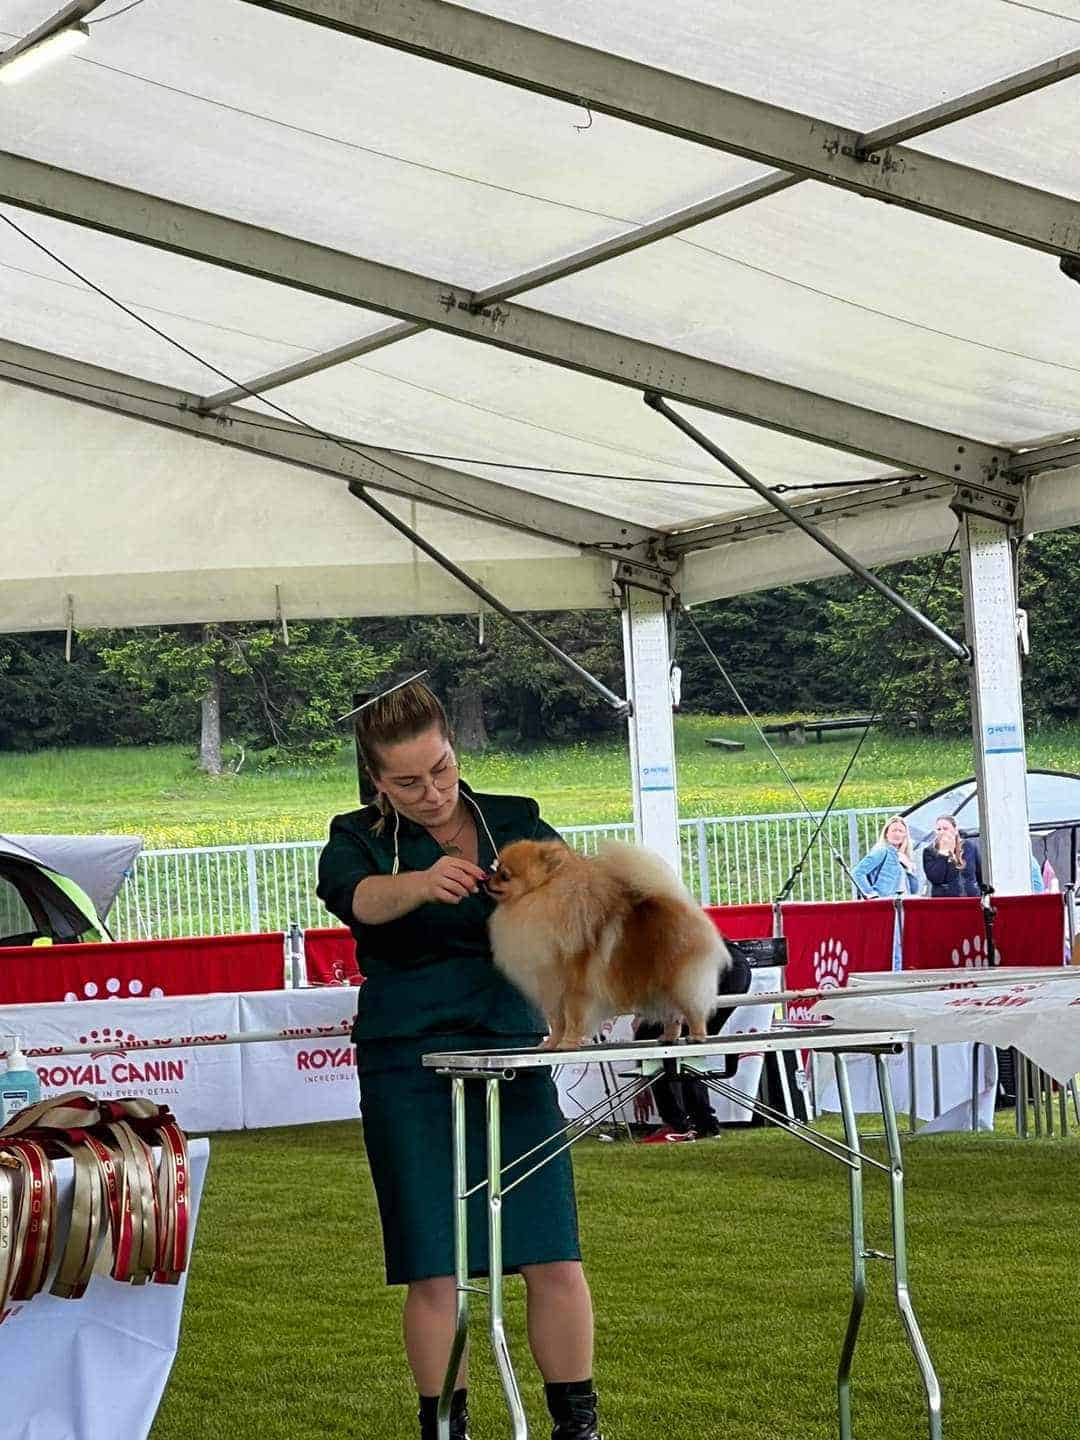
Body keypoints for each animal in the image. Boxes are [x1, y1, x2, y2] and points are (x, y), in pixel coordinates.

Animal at [486, 839, 731, 1050]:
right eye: (495, 868)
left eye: (505, 875)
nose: (486, 879)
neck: (538, 897)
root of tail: (679, 904)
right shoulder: (551, 989)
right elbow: (556, 1022)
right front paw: (551, 1044)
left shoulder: (574, 989)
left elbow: (572, 1019)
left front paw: (567, 1043)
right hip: (659, 987)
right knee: (672, 1016)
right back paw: (668, 1037)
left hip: (680, 980)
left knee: (692, 1009)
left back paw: (697, 1035)